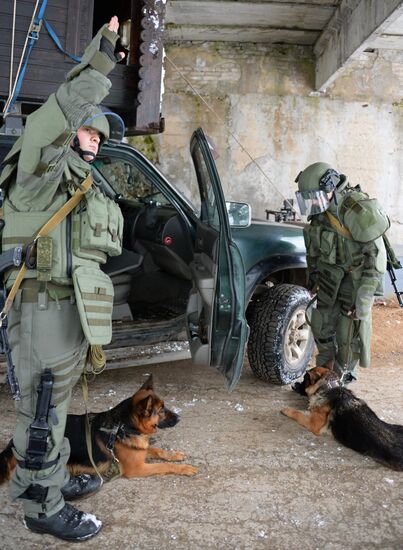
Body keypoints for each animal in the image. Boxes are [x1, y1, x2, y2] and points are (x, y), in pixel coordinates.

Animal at [0, 376, 199, 488]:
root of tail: (14, 442)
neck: (123, 426)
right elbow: (163, 466)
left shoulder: (140, 450)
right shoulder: (137, 468)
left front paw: (175, 455)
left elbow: (158, 451)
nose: (180, 418)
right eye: (162, 410)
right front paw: (184, 468)